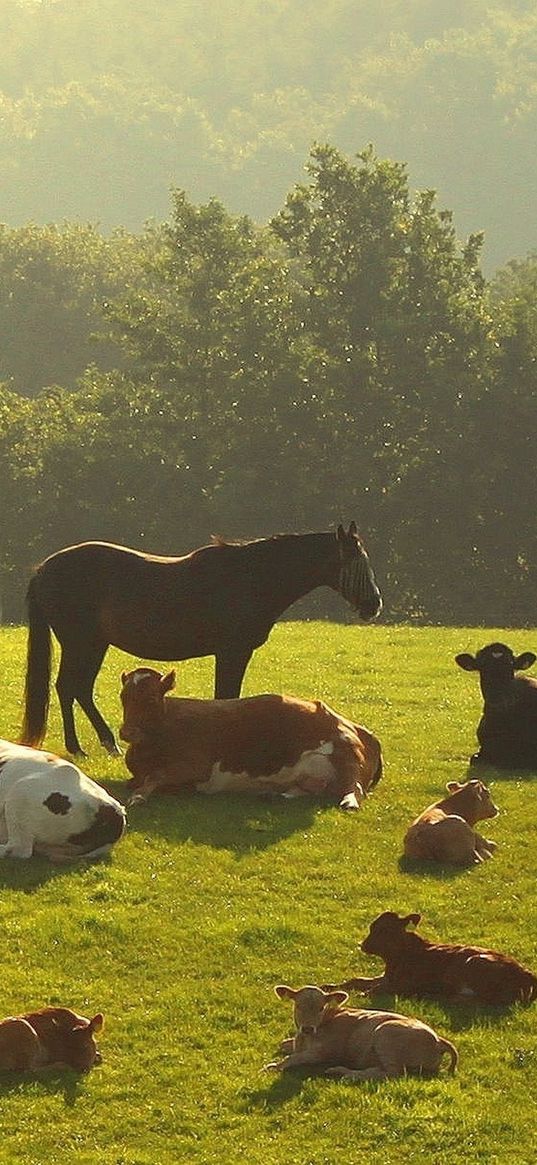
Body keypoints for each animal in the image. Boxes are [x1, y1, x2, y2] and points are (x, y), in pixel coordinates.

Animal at [20, 524, 382, 759]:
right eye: (355, 562)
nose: (374, 604)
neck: (252, 578)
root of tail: (43, 569)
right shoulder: (232, 652)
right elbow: (227, 697)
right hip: (80, 643)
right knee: (68, 688)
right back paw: (80, 747)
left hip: (94, 644)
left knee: (78, 689)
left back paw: (105, 744)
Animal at [119, 666, 382, 810]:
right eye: (123, 697)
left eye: (151, 699)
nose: (126, 732)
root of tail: (359, 728)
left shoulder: (196, 766)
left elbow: (156, 775)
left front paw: (139, 797)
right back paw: (274, 795)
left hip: (347, 753)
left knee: (356, 787)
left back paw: (349, 801)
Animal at [263, 983, 456, 1081]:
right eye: (298, 1006)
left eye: (321, 1008)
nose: (308, 1028)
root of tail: (439, 1040)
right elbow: (285, 1046)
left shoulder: (325, 1052)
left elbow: (292, 1058)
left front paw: (273, 1066)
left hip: (385, 1034)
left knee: (393, 1073)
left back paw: (345, 1073)